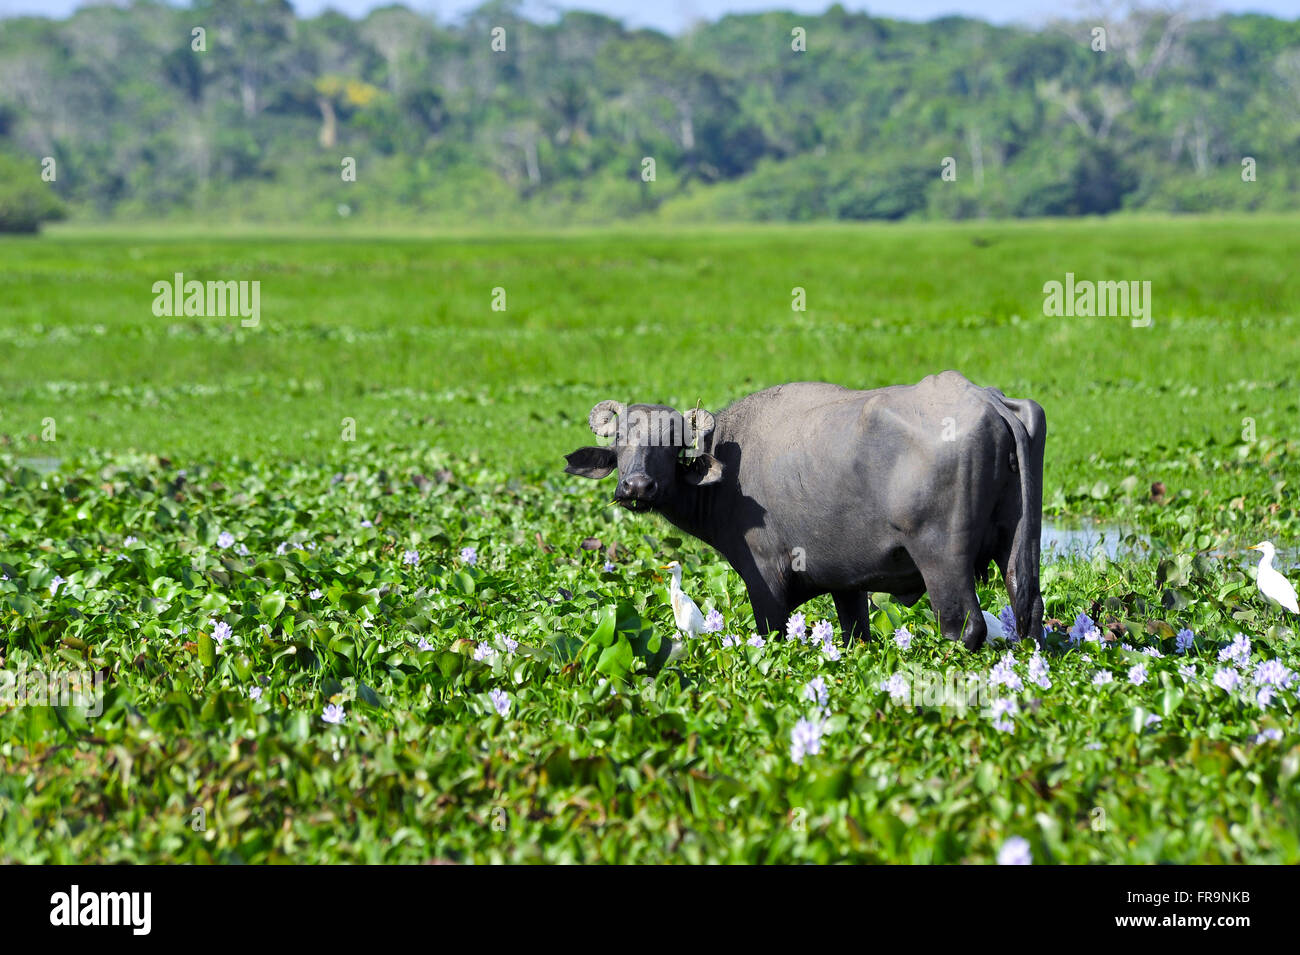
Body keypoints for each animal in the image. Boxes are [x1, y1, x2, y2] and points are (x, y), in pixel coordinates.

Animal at [566, 371, 1045, 649]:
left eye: (668, 443)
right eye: (621, 441)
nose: (637, 486)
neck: (729, 473)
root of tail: (989, 400)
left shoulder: (764, 580)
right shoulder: (848, 582)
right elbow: (856, 635)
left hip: (942, 561)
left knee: (964, 625)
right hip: (1022, 544)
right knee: (1029, 609)